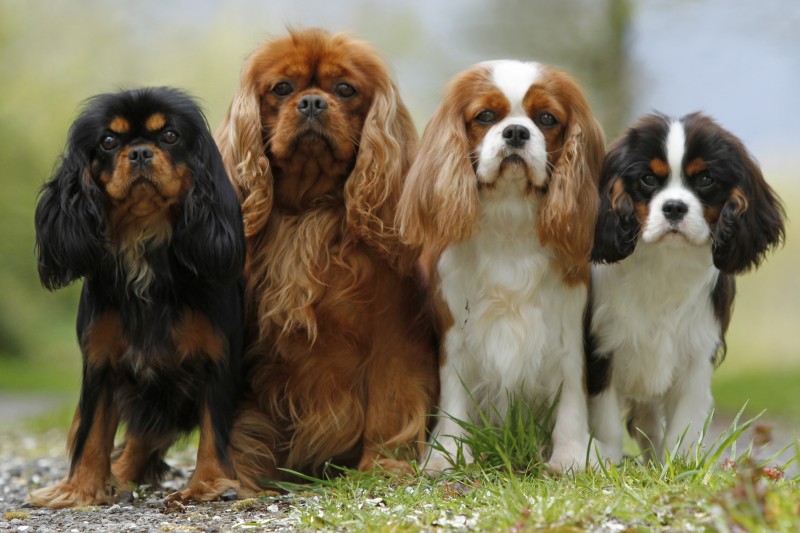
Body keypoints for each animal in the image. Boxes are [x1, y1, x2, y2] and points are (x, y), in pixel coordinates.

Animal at [216, 27, 434, 488]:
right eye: (282, 88)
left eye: (345, 89)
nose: (313, 102)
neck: (308, 211)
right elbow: (243, 423)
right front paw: (235, 476)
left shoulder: (394, 334)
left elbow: (389, 401)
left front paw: (382, 464)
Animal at [396, 60, 604, 472]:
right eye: (485, 116)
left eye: (546, 119)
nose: (516, 131)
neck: (510, 219)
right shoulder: (456, 331)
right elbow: (454, 392)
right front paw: (448, 455)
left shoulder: (566, 328)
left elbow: (571, 393)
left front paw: (571, 456)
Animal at [584, 111, 784, 462]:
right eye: (648, 179)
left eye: (705, 179)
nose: (675, 207)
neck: (666, 259)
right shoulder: (601, 351)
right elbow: (608, 427)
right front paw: (607, 464)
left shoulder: (696, 356)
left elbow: (684, 428)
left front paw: (678, 467)